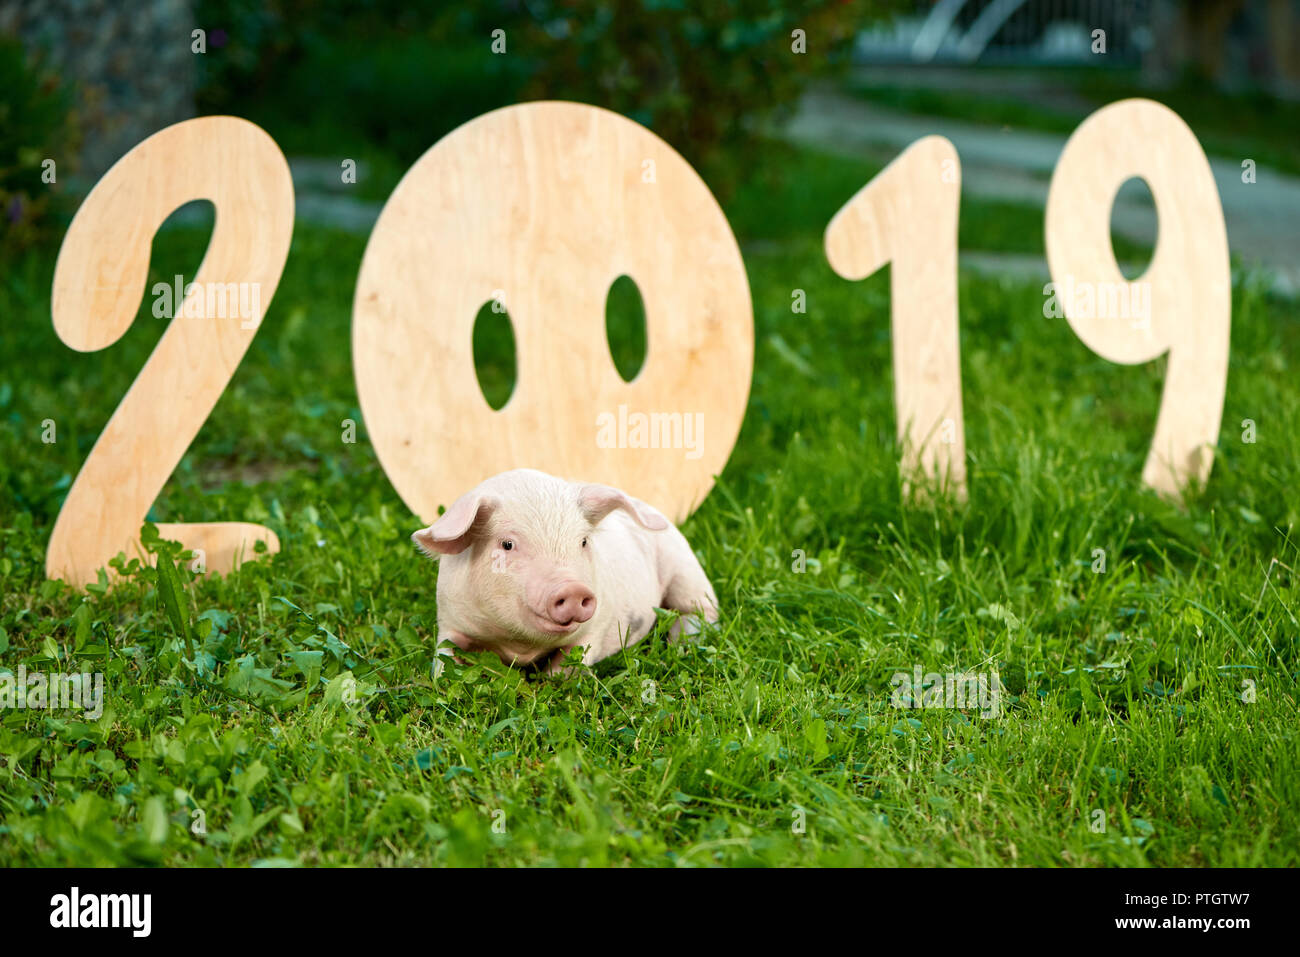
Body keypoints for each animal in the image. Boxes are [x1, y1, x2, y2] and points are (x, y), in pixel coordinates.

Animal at [412, 468, 718, 673]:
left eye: (583, 541)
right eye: (507, 544)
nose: (572, 588)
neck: (521, 646)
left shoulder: (595, 628)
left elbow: (566, 667)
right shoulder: (449, 618)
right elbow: (444, 660)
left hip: (686, 568)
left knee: (703, 611)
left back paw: (681, 642)